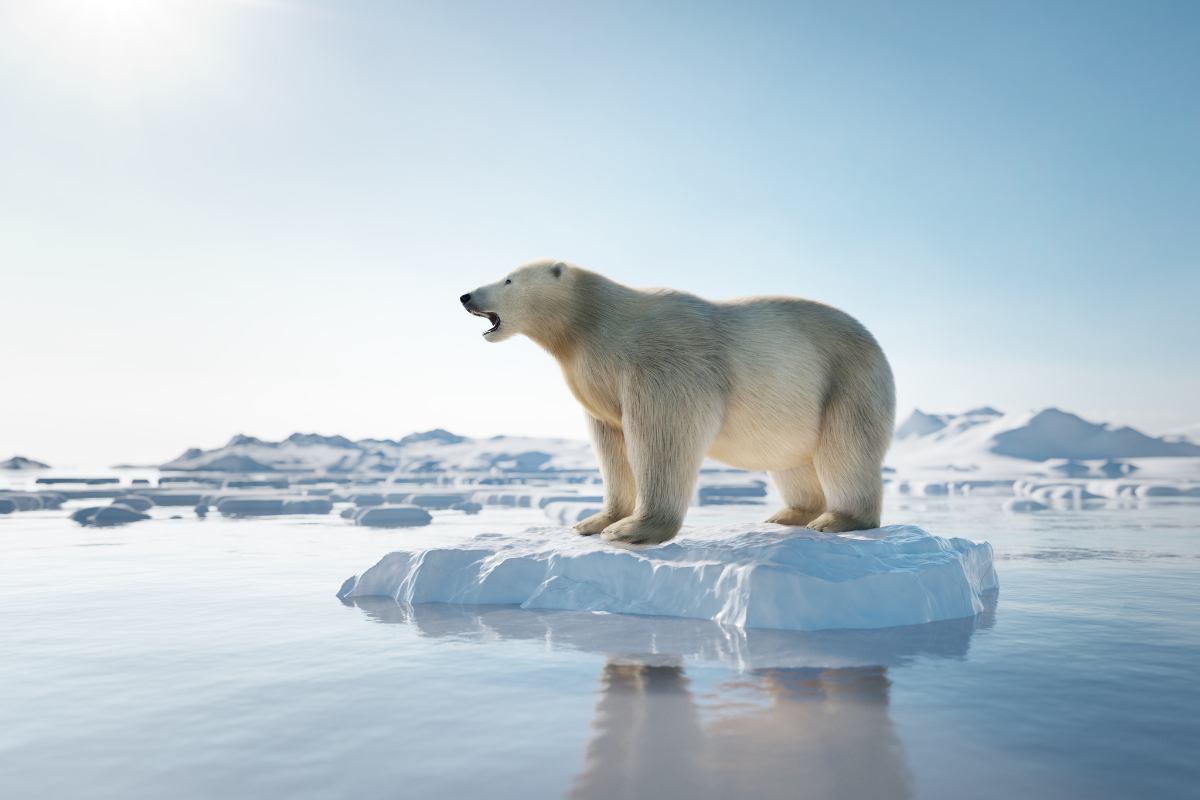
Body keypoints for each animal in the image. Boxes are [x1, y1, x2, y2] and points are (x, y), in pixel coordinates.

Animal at [460, 260, 895, 545]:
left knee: (845, 450)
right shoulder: (598, 382)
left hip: (847, 381)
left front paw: (632, 530)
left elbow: (663, 434)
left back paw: (836, 519)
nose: (465, 295)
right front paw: (594, 521)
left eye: (508, 278)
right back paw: (788, 515)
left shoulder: (662, 360)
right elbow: (611, 445)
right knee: (792, 461)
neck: (593, 323)